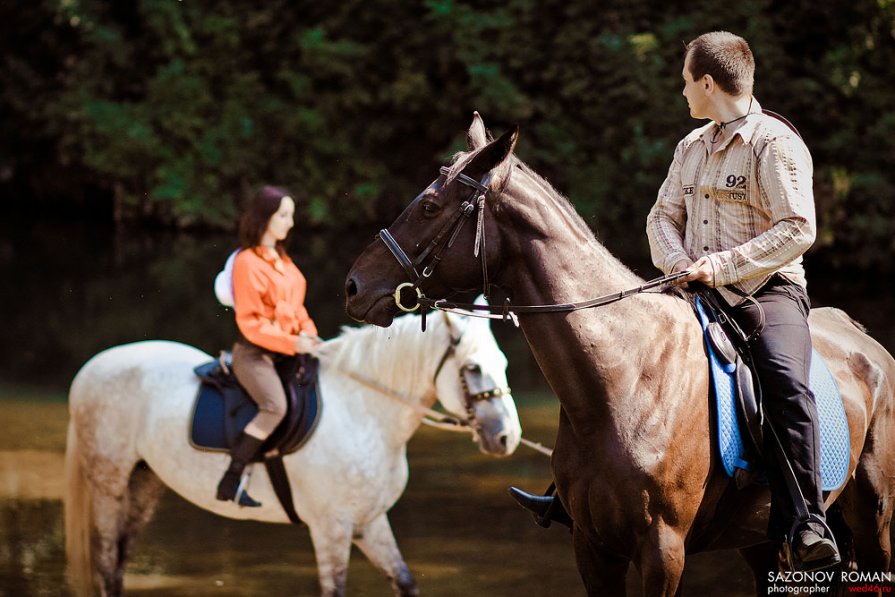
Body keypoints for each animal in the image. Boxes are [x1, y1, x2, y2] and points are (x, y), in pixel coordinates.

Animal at [65, 308, 524, 596]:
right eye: (472, 369)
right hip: (108, 486)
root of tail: (91, 367)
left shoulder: (369, 522)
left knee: (119, 563)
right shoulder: (331, 528)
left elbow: (405, 581)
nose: (507, 437)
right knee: (107, 562)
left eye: (503, 363)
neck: (363, 410)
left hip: (145, 482)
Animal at [344, 113, 895, 596]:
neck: (621, 380)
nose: (353, 286)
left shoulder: (663, 552)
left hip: (872, 519)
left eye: (430, 208)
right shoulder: (593, 549)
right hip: (759, 541)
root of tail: (867, 342)